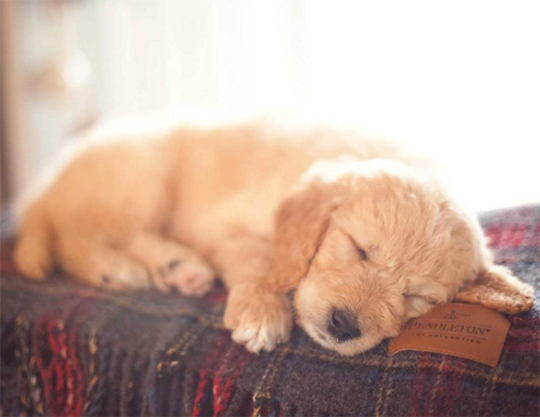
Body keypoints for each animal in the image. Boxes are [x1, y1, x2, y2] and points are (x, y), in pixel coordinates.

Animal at [14, 120, 532, 354]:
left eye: (417, 297)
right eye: (359, 249)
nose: (344, 325)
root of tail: (47, 188)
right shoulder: (221, 224)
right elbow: (259, 259)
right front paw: (262, 311)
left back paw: (177, 268)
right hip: (141, 175)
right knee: (75, 235)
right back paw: (119, 268)